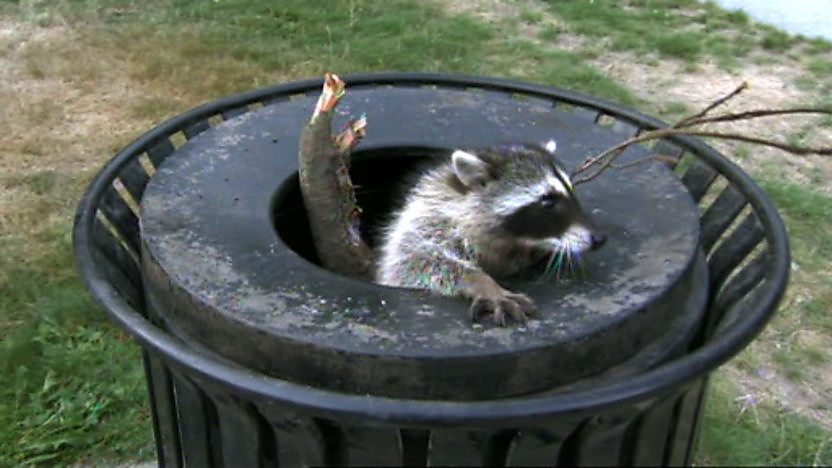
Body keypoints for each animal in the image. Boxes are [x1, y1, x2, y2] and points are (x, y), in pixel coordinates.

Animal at [375, 140, 606, 326]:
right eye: (547, 201)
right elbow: (412, 262)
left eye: (573, 192)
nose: (600, 239)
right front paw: (481, 282)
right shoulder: (427, 217)